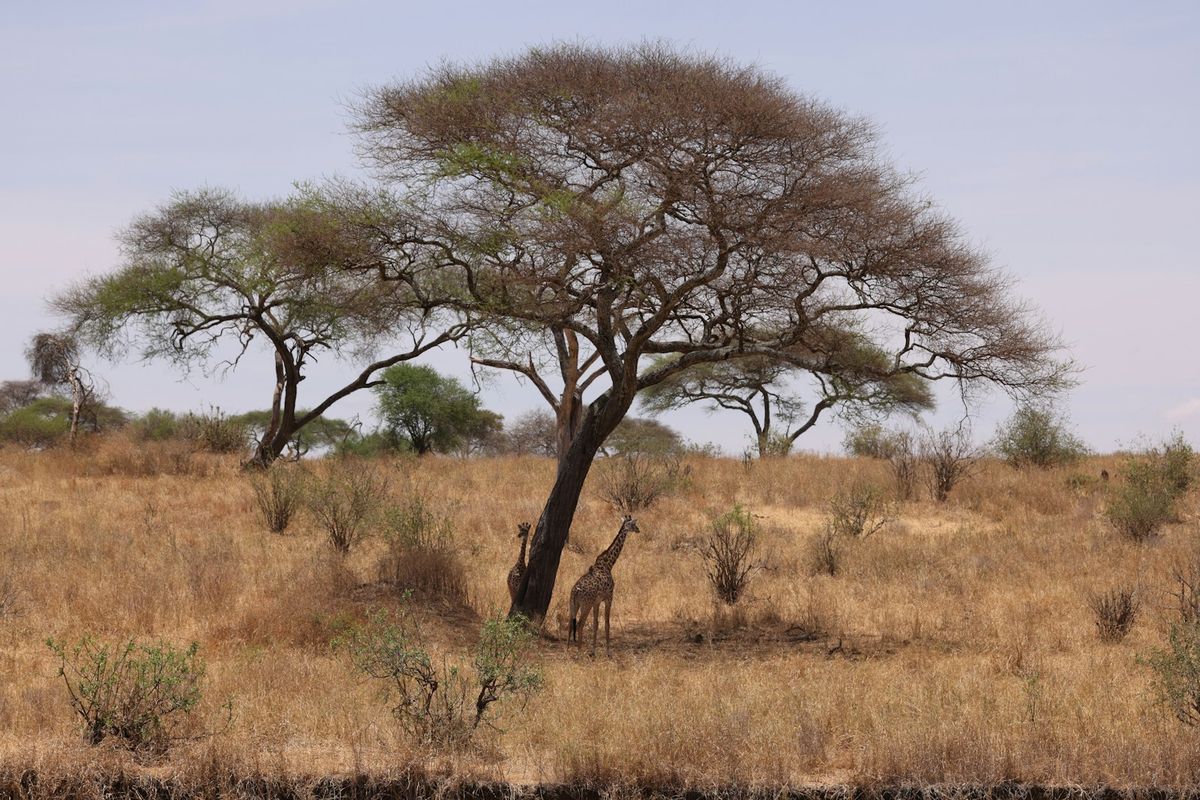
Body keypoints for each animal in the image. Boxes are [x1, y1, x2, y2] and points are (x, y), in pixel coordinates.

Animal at [568, 515, 639, 656]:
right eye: (633, 524)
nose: (638, 530)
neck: (608, 564)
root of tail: (576, 590)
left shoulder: (597, 602)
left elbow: (596, 624)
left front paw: (593, 651)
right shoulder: (609, 598)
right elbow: (607, 623)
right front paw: (608, 652)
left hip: (574, 604)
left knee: (570, 624)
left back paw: (568, 650)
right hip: (586, 604)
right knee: (579, 624)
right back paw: (579, 652)